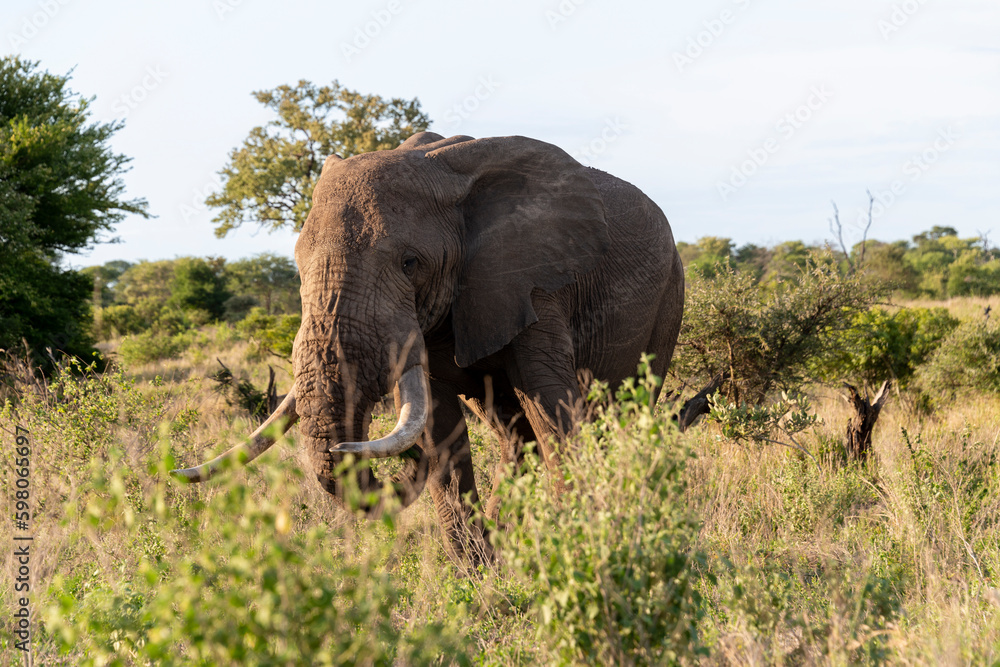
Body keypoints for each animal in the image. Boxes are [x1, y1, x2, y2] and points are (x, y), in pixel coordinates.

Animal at [172, 132, 684, 562]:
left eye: (410, 263)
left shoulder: (533, 281)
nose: (349, 447)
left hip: (670, 296)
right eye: (296, 264)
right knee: (514, 435)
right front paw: (480, 582)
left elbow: (554, 416)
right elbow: (442, 430)